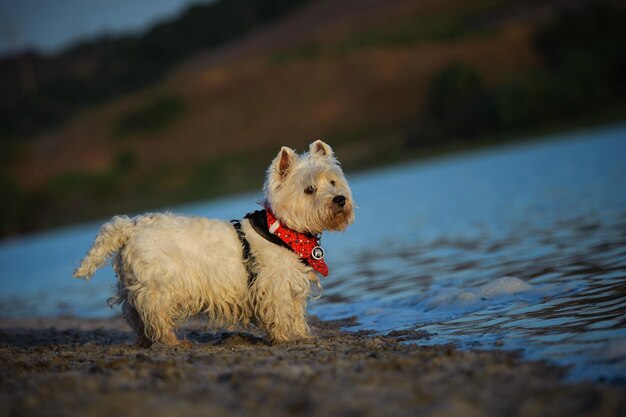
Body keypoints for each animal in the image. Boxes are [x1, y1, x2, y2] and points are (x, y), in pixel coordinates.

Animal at [73, 141, 352, 346]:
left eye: (333, 181)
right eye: (309, 189)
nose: (340, 199)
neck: (283, 230)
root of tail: (131, 226)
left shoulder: (291, 285)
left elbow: (295, 313)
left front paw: (303, 335)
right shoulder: (274, 285)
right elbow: (281, 313)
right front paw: (286, 338)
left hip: (133, 287)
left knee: (136, 317)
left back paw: (146, 342)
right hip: (158, 287)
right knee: (155, 317)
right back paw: (173, 343)